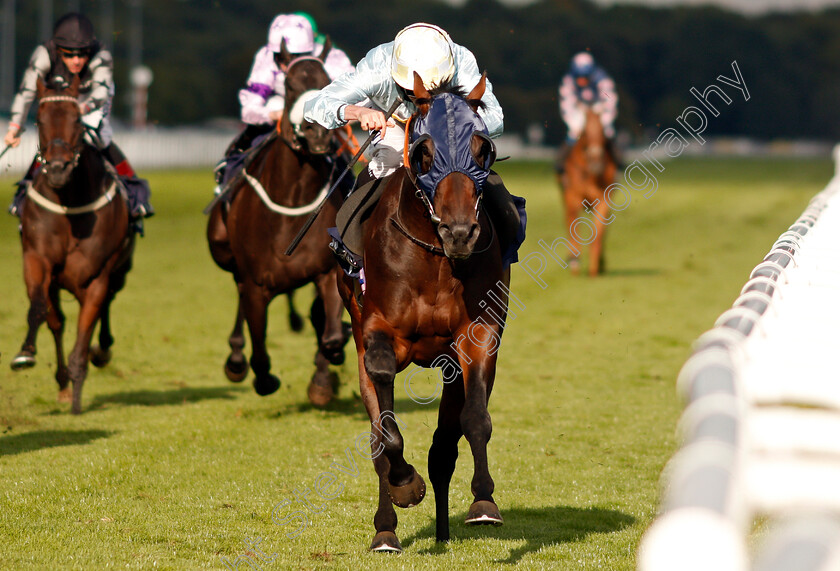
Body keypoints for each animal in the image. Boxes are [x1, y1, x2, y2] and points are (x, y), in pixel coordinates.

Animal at [10, 76, 135, 416]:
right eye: (39, 120)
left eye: (78, 120)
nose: (57, 169)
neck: (70, 205)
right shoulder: (37, 260)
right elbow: (40, 310)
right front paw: (26, 354)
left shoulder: (96, 278)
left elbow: (87, 329)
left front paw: (78, 396)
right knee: (57, 321)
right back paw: (63, 383)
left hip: (120, 271)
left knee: (105, 308)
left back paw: (99, 353)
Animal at [208, 39, 350, 406]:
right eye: (289, 85)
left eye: (329, 81)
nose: (317, 131)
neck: (292, 202)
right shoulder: (256, 283)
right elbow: (259, 350)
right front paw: (262, 378)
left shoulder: (326, 272)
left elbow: (329, 335)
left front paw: (323, 381)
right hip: (223, 251)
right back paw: (235, 360)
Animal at [338, 71, 508, 556]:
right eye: (424, 150)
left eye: (482, 148)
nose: (460, 232)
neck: (433, 257)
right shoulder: (379, 334)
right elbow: (386, 432)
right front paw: (405, 485)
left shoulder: (477, 334)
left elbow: (473, 420)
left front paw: (483, 502)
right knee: (378, 436)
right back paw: (385, 530)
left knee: (443, 448)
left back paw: (444, 527)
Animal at [556, 108, 616, 278]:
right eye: (585, 132)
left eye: (603, 131)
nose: (596, 162)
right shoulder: (573, 198)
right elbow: (574, 229)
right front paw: (575, 263)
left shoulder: (603, 201)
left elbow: (599, 233)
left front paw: (595, 267)